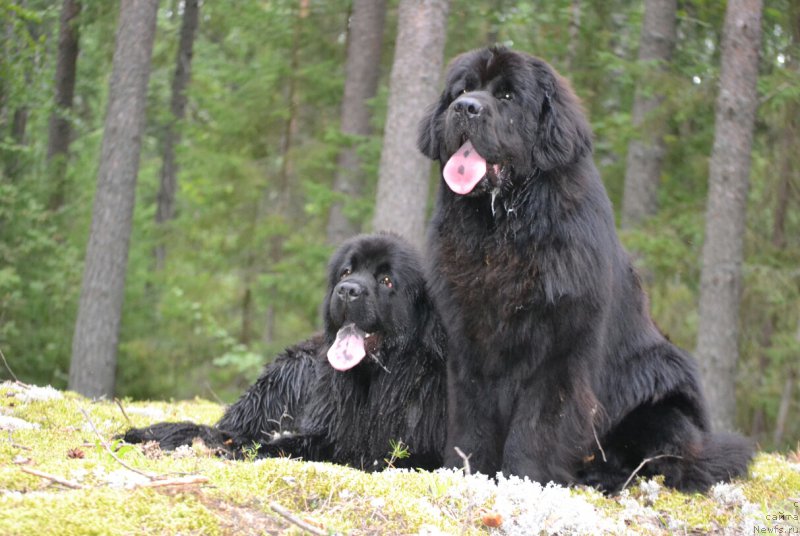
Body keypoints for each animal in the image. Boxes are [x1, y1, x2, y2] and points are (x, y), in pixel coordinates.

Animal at [126, 232, 450, 472]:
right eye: (346, 271)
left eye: (386, 280)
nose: (347, 290)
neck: (377, 382)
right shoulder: (326, 431)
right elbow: (295, 444)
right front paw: (255, 451)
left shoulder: (425, 451)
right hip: (292, 371)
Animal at [416, 48, 752, 492]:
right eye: (462, 90)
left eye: (506, 96)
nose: (465, 108)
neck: (500, 230)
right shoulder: (469, 342)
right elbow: (472, 419)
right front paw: (467, 472)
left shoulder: (560, 346)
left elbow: (537, 425)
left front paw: (525, 480)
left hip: (659, 400)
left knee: (671, 462)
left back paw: (601, 475)